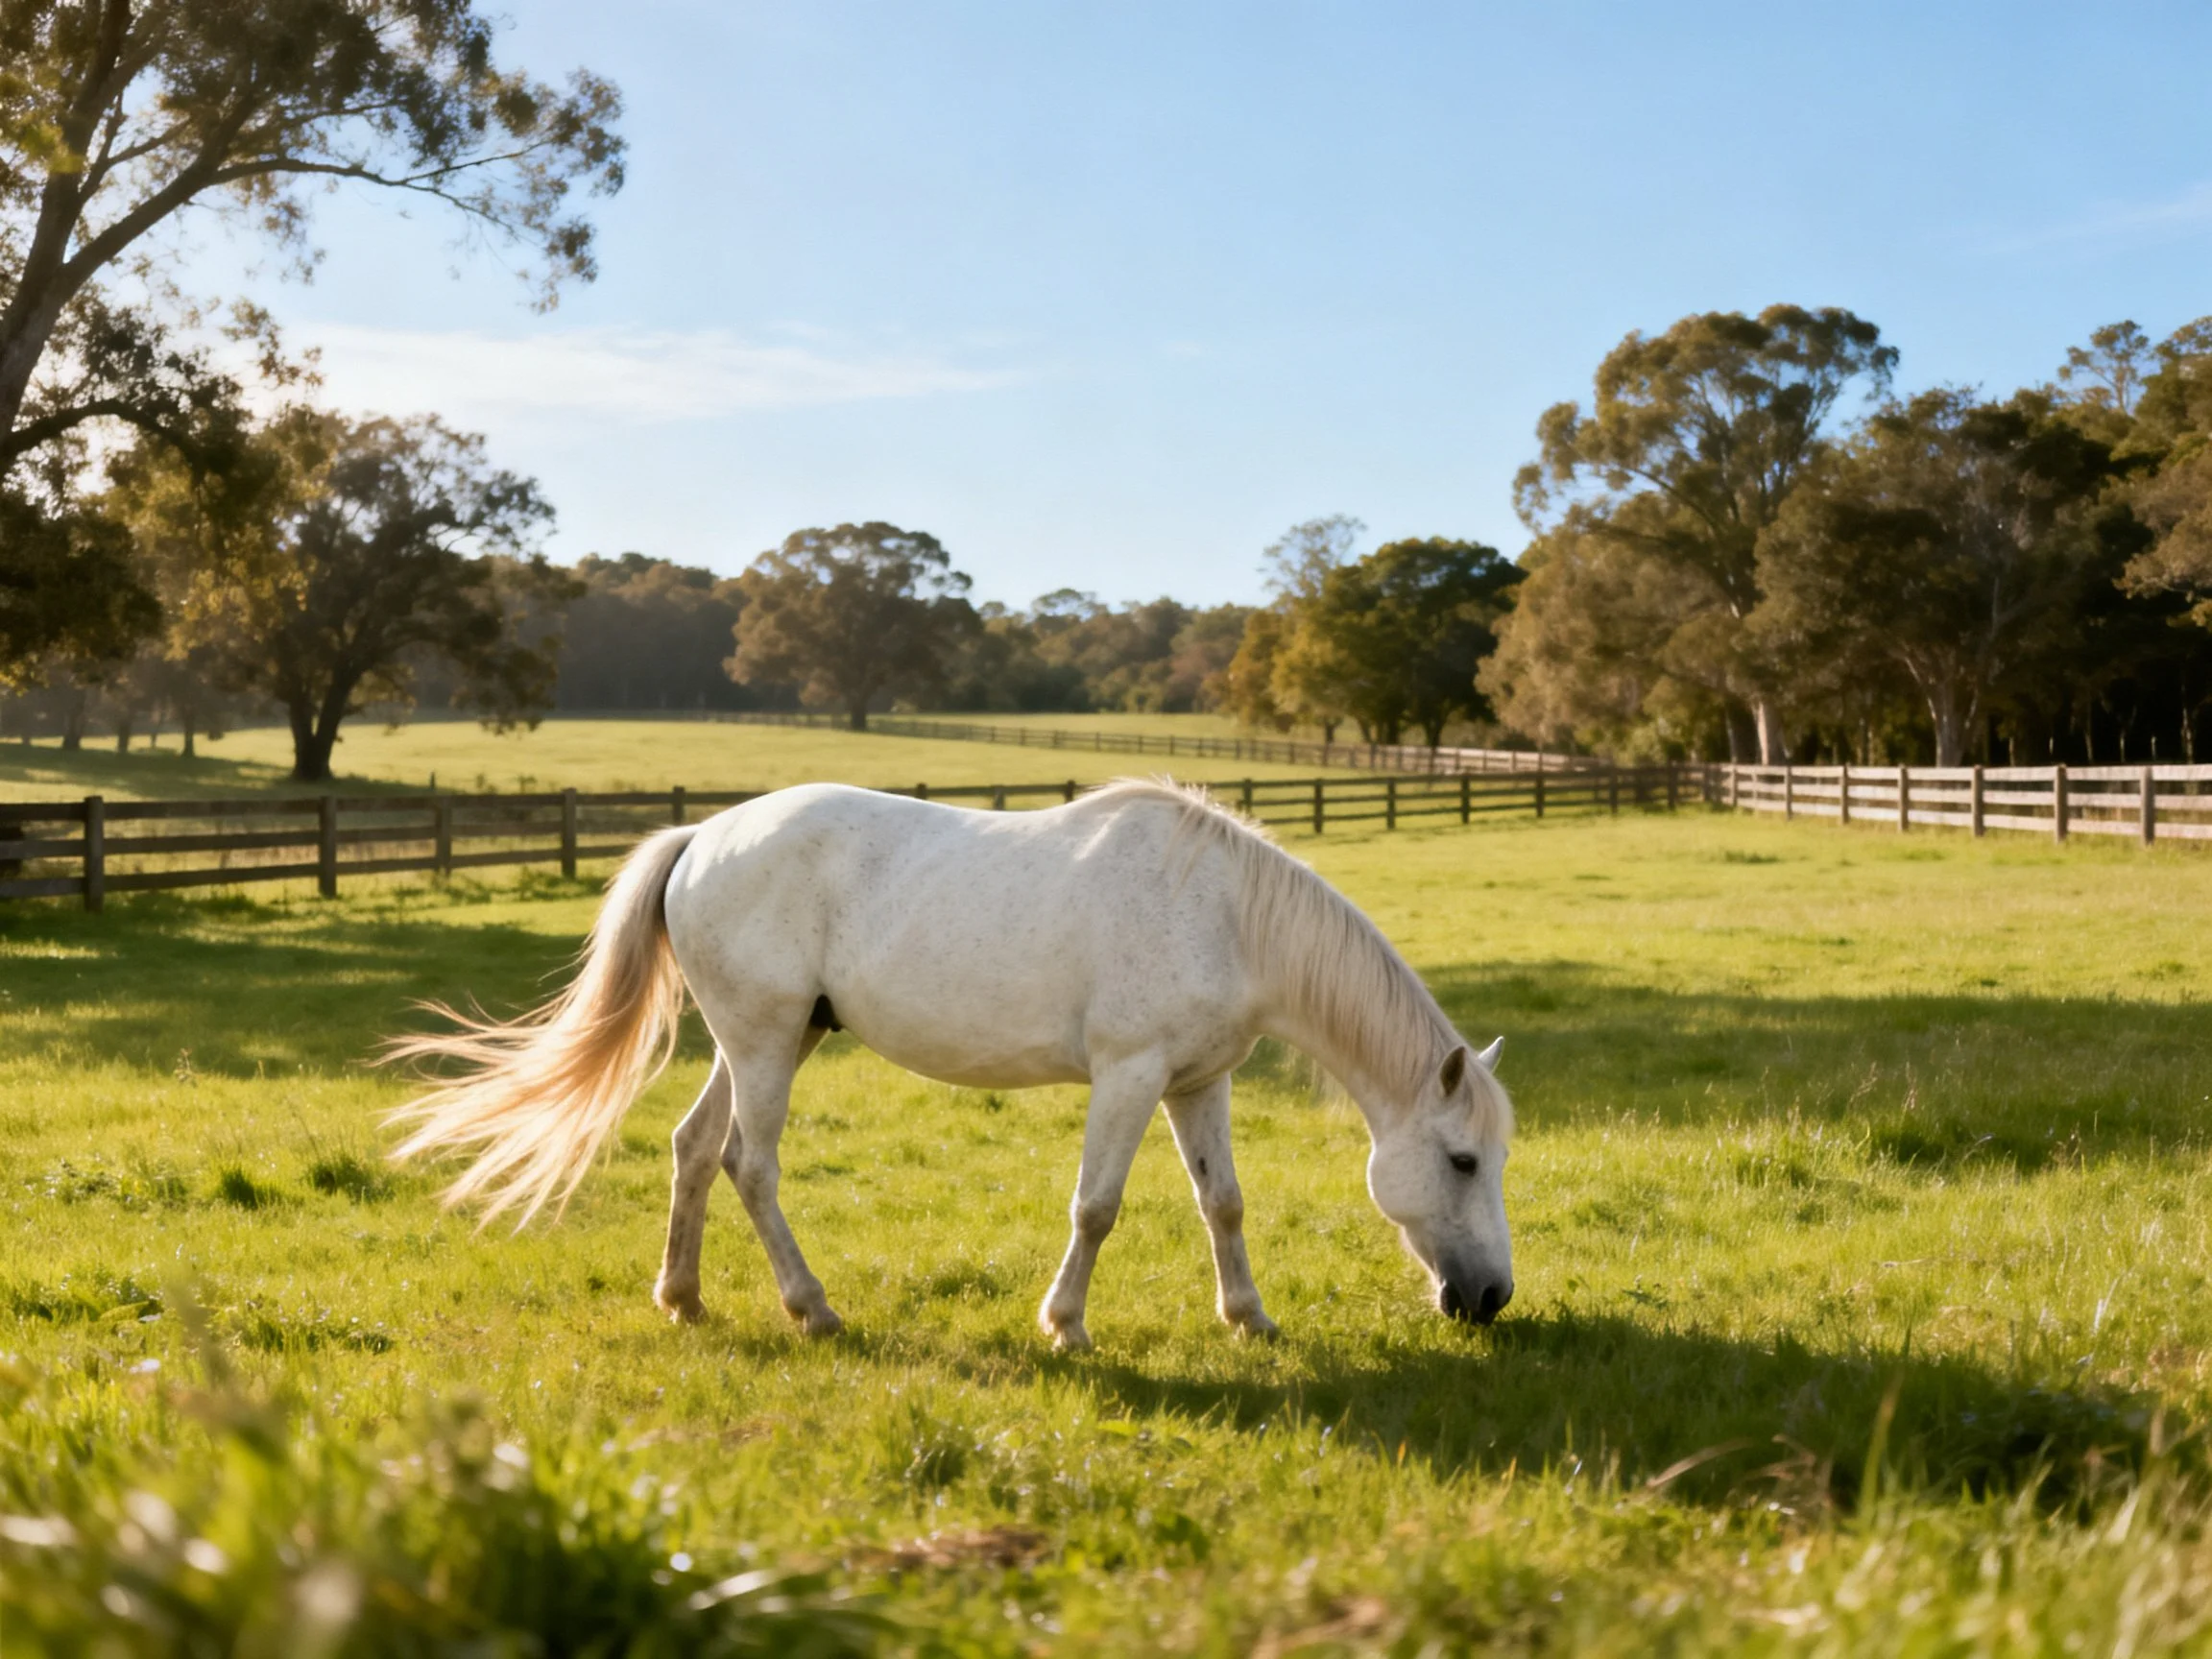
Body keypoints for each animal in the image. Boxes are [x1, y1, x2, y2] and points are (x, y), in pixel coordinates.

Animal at [386, 778, 1515, 1349]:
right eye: (1462, 1162)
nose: (1492, 1299)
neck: (1226, 912)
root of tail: (702, 836)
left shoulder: (1199, 1082)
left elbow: (1223, 1203)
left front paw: (1250, 1320)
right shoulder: (1130, 1075)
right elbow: (1097, 1207)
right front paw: (1067, 1326)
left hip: (769, 1037)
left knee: (695, 1149)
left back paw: (684, 1298)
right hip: (765, 1044)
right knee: (751, 1165)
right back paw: (813, 1309)